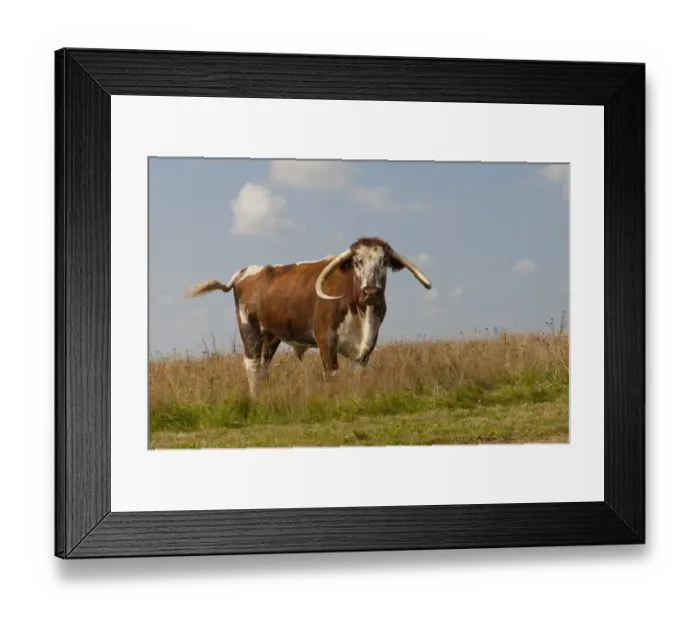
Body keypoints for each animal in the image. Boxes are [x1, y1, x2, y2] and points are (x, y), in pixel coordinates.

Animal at [185, 236, 432, 396]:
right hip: (250, 331)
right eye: (357, 261)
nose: (371, 292)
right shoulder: (326, 340)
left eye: (384, 262)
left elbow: (358, 375)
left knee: (263, 367)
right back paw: (256, 401)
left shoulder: (368, 344)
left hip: (270, 337)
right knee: (252, 366)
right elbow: (332, 375)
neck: (362, 316)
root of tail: (246, 271)